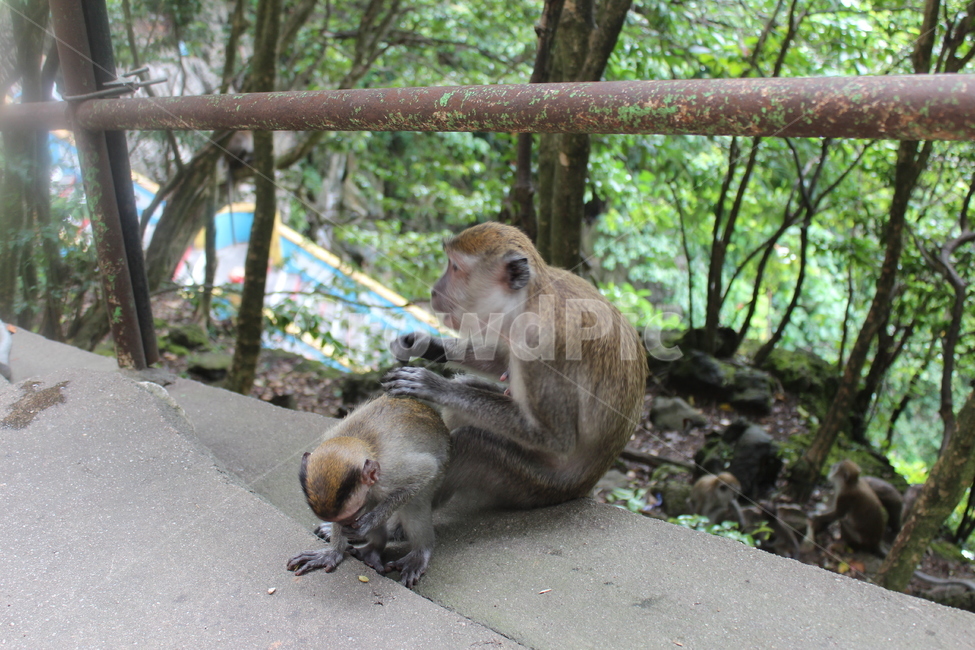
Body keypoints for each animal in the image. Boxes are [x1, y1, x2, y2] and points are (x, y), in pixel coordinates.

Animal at [286, 395, 450, 588]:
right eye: (340, 519)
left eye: (355, 512)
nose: (347, 525)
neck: (359, 441)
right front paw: (334, 552)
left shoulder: (391, 473)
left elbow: (425, 470)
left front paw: (368, 523)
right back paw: (374, 547)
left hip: (440, 475)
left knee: (414, 504)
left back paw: (419, 551)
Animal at [382, 222, 647, 510]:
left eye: (455, 267)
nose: (433, 290)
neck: (529, 299)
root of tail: (584, 488)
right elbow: (501, 359)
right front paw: (424, 344)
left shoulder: (541, 345)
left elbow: (557, 438)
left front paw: (433, 385)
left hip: (532, 485)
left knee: (472, 442)